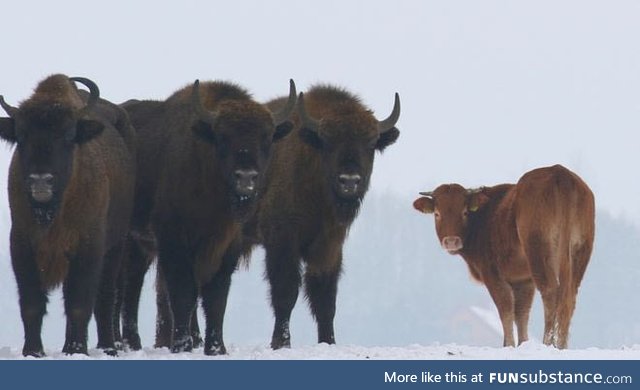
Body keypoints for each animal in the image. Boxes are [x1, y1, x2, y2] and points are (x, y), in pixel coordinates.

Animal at [0, 74, 135, 356]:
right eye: (21, 135)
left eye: (68, 134)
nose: (41, 181)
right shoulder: (22, 243)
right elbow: (32, 303)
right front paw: (33, 351)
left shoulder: (88, 246)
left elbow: (79, 303)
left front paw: (77, 349)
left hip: (115, 247)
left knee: (105, 298)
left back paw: (107, 347)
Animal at [119, 78, 296, 354]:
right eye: (223, 137)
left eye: (266, 138)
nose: (246, 177)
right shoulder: (174, 241)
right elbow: (183, 293)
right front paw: (182, 346)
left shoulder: (227, 246)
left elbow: (216, 298)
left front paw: (216, 348)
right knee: (126, 286)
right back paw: (126, 343)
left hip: (140, 244)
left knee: (132, 283)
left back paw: (133, 343)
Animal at [245, 84, 400, 348]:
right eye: (328, 141)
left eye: (370, 143)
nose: (349, 181)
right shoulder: (281, 241)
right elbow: (286, 292)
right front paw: (281, 343)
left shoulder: (329, 246)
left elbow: (325, 299)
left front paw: (328, 342)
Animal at [416, 165, 596, 350]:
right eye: (437, 213)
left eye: (464, 212)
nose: (451, 241)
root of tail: (560, 173)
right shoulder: (523, 280)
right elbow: (521, 313)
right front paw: (523, 343)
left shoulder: (493, 274)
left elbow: (505, 308)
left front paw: (508, 344)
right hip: (580, 250)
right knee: (570, 295)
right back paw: (561, 345)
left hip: (539, 250)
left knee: (550, 290)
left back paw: (548, 343)